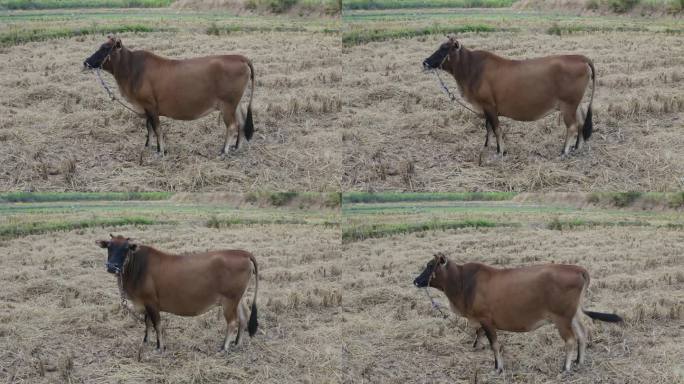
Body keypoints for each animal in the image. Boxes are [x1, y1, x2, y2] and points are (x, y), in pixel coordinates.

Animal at [84, 36, 255, 155]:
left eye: (105, 48)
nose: (86, 62)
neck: (132, 69)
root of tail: (239, 57)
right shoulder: (146, 108)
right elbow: (149, 127)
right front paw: (148, 145)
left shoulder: (150, 105)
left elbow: (157, 128)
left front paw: (161, 150)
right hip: (236, 103)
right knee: (241, 122)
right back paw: (237, 147)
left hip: (227, 105)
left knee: (232, 126)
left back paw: (224, 150)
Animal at [95, 234, 258, 352]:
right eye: (109, 247)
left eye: (126, 248)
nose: (112, 267)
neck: (138, 268)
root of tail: (241, 252)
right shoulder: (145, 303)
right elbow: (147, 323)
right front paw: (146, 341)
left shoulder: (151, 302)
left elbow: (157, 324)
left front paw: (159, 347)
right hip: (239, 298)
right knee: (244, 317)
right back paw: (237, 343)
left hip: (229, 300)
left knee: (232, 322)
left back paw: (224, 347)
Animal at [414, 254, 624, 374]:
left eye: (430, 265)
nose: (415, 280)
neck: (463, 282)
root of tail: (577, 268)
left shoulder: (486, 320)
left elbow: (495, 345)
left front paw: (498, 368)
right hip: (573, 316)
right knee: (582, 334)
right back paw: (579, 361)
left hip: (562, 318)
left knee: (571, 340)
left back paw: (565, 368)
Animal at [424, 36, 596, 156]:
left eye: (444, 49)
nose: (425, 62)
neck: (472, 68)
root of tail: (580, 57)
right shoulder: (486, 108)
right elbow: (488, 128)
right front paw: (487, 146)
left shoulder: (489, 105)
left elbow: (496, 128)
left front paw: (501, 151)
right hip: (577, 104)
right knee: (581, 122)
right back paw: (577, 147)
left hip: (568, 104)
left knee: (572, 126)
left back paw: (564, 151)